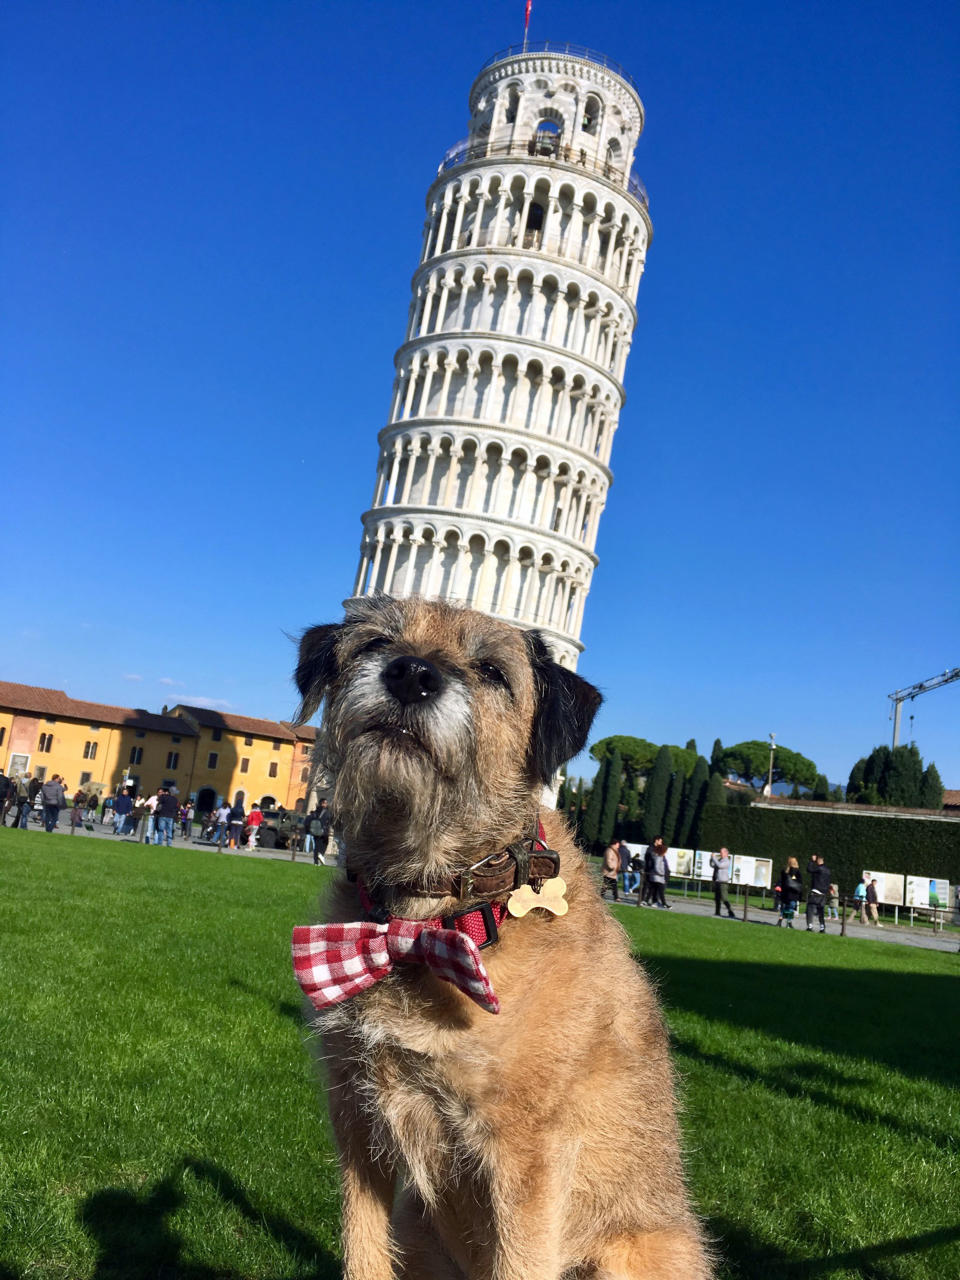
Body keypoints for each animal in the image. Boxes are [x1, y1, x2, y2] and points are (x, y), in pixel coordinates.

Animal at [293, 599, 716, 1280]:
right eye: (377, 642)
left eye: (492, 671)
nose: (411, 674)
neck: (428, 920)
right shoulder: (357, 1121)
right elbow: (362, 1250)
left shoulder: (527, 1155)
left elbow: (518, 1260)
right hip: (418, 1228)